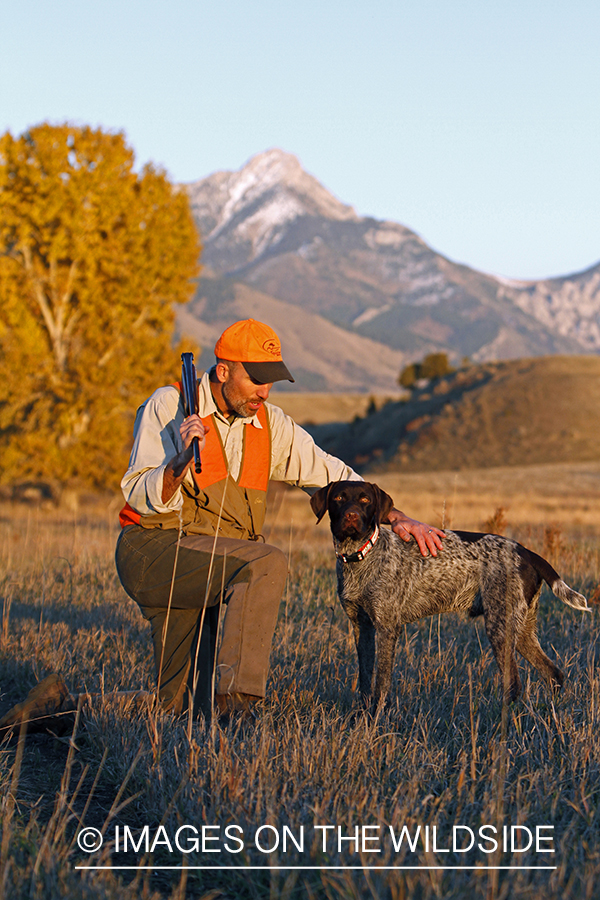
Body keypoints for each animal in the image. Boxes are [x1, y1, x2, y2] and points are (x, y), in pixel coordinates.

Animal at [312, 482, 588, 708]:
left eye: (365, 500)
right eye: (339, 498)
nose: (351, 516)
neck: (360, 556)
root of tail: (526, 552)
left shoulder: (387, 628)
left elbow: (381, 686)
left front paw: (376, 719)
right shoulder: (362, 627)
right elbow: (365, 681)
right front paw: (361, 718)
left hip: (500, 626)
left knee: (514, 685)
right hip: (521, 631)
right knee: (553, 673)